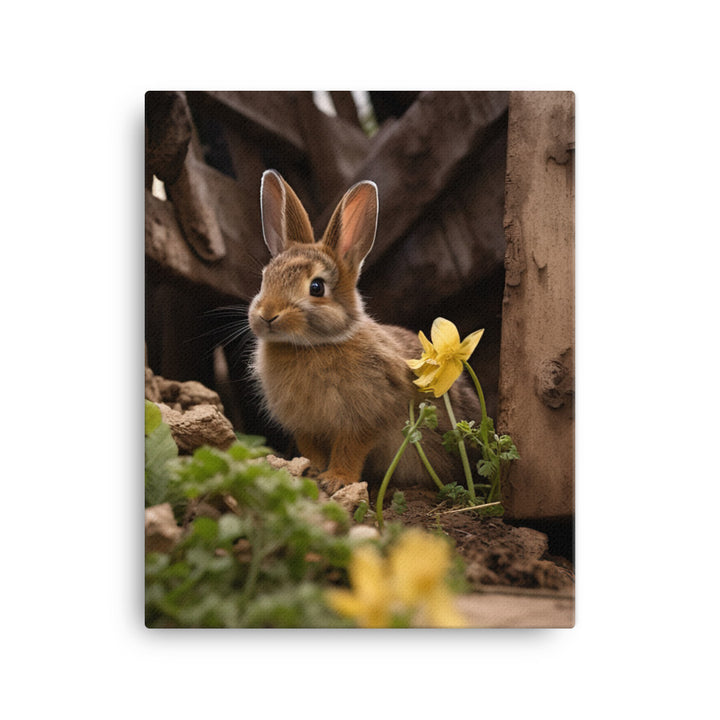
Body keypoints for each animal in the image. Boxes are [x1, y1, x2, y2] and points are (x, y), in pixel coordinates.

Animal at [248, 169, 481, 494]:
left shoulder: (365, 417)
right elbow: (312, 450)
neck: (313, 345)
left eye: (316, 287)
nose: (267, 315)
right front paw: (311, 472)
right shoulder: (305, 426)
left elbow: (350, 448)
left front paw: (336, 480)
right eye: (264, 279)